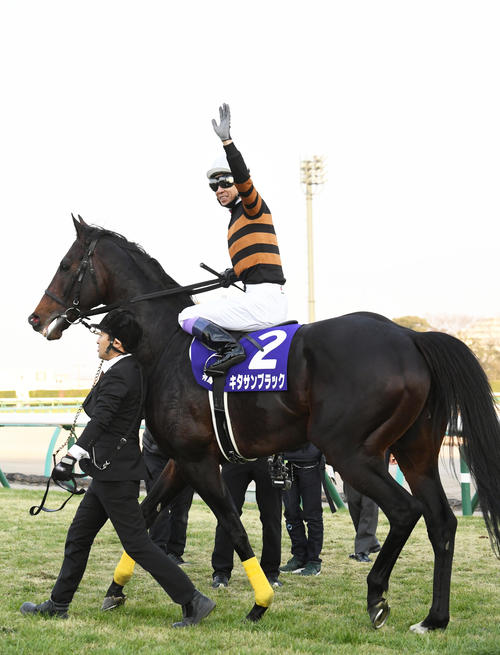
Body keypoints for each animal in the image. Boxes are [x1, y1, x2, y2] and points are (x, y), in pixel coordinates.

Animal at [28, 215, 500, 632]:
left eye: (66, 265)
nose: (36, 318)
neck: (168, 346)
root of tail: (411, 338)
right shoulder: (182, 460)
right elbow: (144, 518)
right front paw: (116, 590)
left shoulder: (200, 462)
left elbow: (234, 527)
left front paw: (259, 603)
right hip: (415, 452)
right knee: (442, 521)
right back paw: (434, 619)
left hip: (351, 453)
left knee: (406, 511)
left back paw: (376, 596)